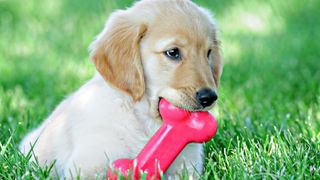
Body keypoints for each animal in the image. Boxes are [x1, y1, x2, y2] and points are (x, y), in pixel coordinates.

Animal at [18, 0, 221, 178]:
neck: (145, 121)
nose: (209, 97)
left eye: (208, 53)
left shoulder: (187, 167)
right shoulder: (88, 165)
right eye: (172, 52)